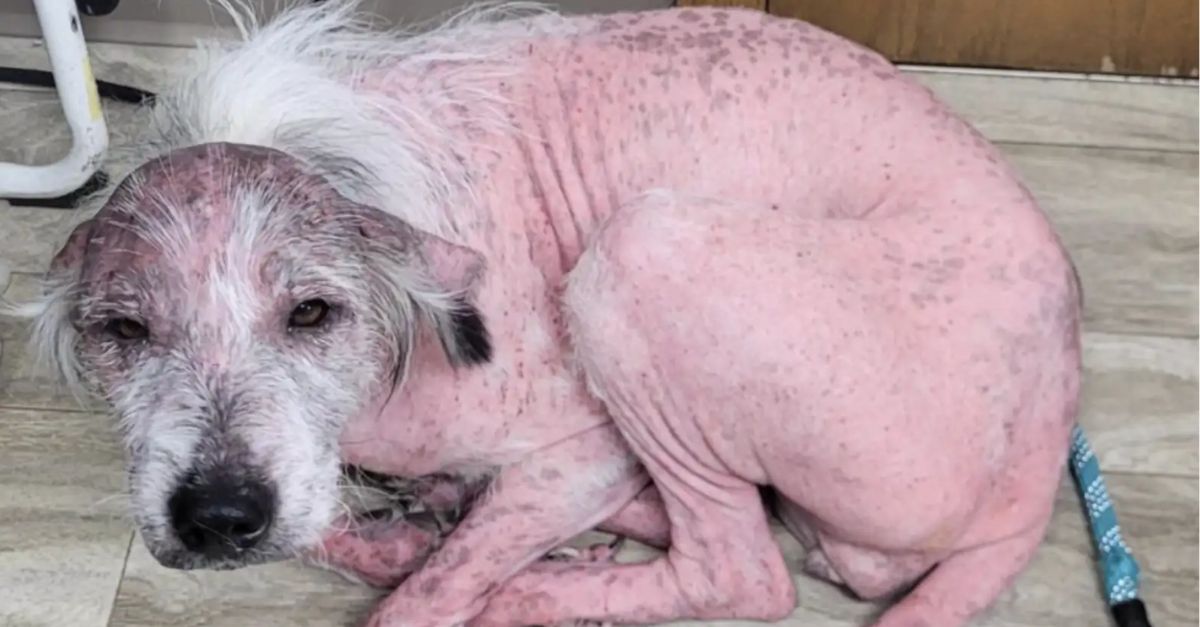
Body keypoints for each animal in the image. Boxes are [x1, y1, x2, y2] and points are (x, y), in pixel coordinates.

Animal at [2, 1, 1089, 624]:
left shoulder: (583, 445)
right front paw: (390, 534)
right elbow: (315, 514)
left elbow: (422, 599)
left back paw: (531, 586)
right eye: (124, 333)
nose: (221, 518)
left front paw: (434, 562)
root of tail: (1051, 431)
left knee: (744, 572)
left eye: (311, 313)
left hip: (641, 250)